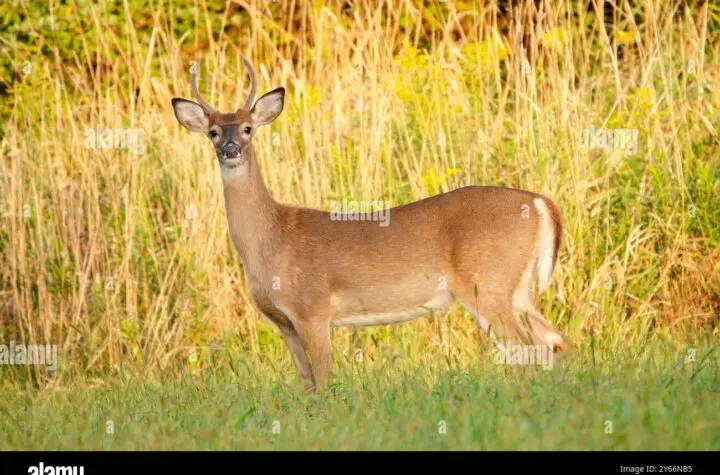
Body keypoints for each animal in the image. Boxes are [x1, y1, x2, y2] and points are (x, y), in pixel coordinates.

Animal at [171, 59, 572, 391]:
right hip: (516, 287)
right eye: (212, 132)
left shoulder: (313, 308)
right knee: (551, 340)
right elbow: (306, 385)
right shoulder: (285, 323)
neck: (271, 238)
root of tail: (540, 202)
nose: (231, 149)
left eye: (247, 128)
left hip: (487, 284)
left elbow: (324, 382)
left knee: (527, 347)